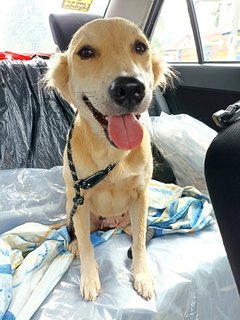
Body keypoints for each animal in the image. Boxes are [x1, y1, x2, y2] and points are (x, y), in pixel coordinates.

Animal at [45, 17, 169, 302]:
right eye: (85, 52)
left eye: (140, 47)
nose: (130, 88)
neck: (111, 152)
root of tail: (111, 224)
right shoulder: (79, 198)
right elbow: (88, 247)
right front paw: (89, 278)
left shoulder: (141, 196)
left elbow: (139, 244)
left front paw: (142, 276)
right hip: (76, 210)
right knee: (81, 235)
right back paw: (75, 244)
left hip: (131, 215)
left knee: (136, 232)